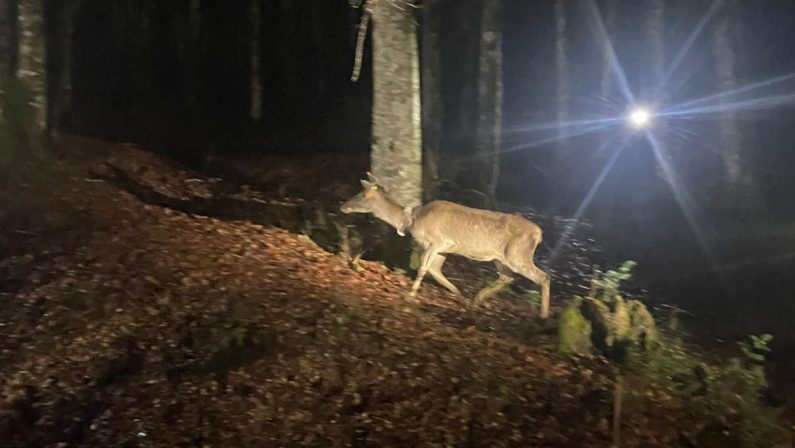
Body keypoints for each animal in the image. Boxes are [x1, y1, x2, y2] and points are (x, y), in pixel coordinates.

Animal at [338, 172, 552, 318]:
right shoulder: (442, 249)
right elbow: (436, 271)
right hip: (502, 258)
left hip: (518, 255)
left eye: (362, 195)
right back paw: (477, 299)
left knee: (543, 277)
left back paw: (543, 316)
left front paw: (410, 295)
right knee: (507, 278)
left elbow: (424, 268)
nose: (342, 206)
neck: (412, 220)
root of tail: (539, 234)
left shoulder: (437, 240)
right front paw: (461, 297)